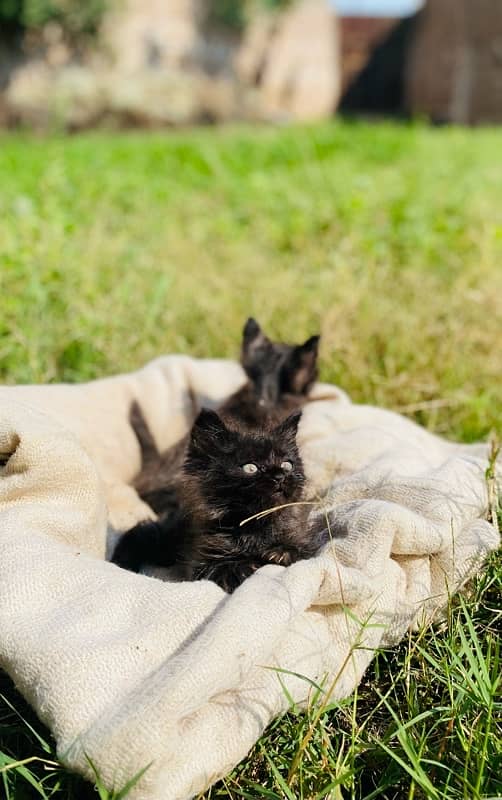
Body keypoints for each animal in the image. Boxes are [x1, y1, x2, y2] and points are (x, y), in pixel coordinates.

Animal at [113, 410, 326, 592]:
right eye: (250, 468)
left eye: (287, 465)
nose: (280, 476)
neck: (253, 527)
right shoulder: (202, 560)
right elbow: (224, 567)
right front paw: (245, 567)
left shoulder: (304, 541)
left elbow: (301, 551)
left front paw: (281, 553)